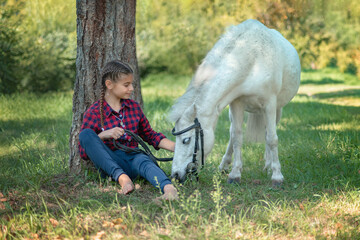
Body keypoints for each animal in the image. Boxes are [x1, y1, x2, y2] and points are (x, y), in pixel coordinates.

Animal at [169, 20, 300, 186]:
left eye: (186, 140)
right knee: (232, 133)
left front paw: (277, 175)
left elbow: (272, 138)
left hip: (277, 109)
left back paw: (268, 165)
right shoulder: (236, 104)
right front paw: (235, 174)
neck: (253, 59)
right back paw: (225, 165)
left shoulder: (270, 104)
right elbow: (237, 137)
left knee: (268, 133)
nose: (175, 175)